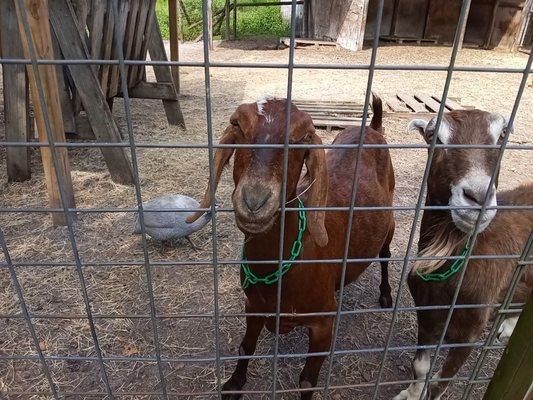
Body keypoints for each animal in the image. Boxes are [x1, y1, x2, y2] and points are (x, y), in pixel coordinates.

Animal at [188, 95, 394, 398]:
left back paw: (386, 294)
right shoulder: (253, 305)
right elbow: (245, 347)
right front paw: (234, 384)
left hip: (390, 225)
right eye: (237, 124)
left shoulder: (323, 323)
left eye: (302, 137)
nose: (255, 201)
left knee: (385, 255)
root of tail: (372, 128)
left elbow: (308, 380)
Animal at [392, 110, 528, 400]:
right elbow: (420, 366)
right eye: (433, 135)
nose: (478, 198)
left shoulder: (470, 332)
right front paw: (411, 394)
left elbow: (440, 382)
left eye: (502, 134)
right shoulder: (426, 313)